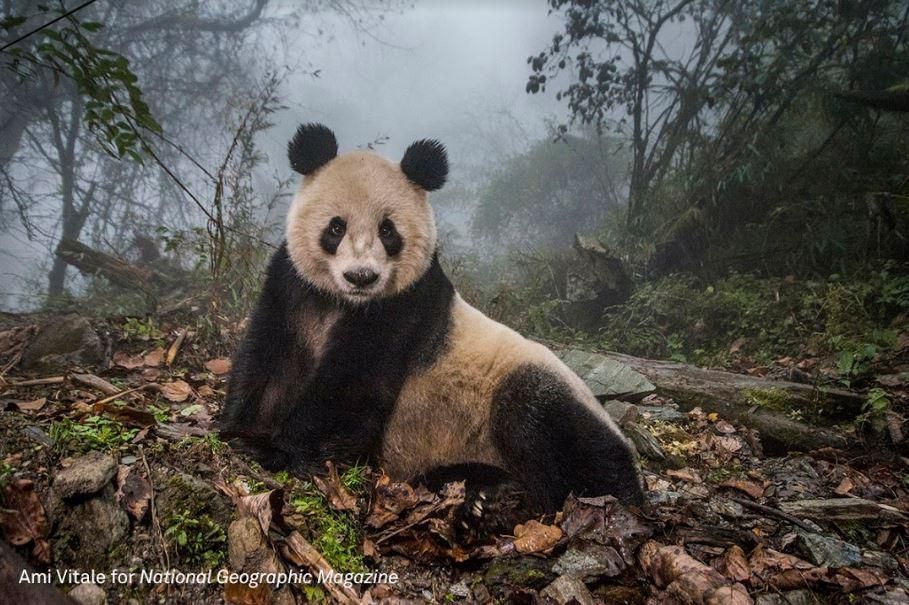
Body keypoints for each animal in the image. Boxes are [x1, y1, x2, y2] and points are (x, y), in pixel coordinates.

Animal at [221, 123, 643, 516]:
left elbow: (350, 387)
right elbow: (267, 356)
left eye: (388, 230)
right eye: (336, 227)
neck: (345, 302)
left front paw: (281, 448)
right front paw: (240, 429)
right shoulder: (291, 286)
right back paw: (481, 487)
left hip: (537, 390)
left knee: (548, 429)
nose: (361, 276)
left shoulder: (403, 307)